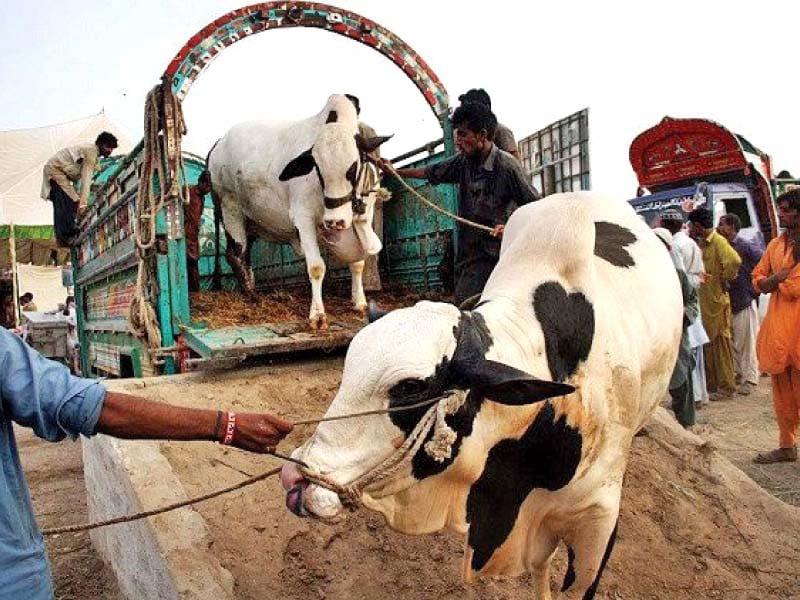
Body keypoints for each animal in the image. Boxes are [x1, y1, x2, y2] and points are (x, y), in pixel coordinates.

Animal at [208, 94, 392, 328]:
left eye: (353, 168)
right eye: (317, 169)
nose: (335, 221)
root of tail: (218, 144)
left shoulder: (360, 220)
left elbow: (358, 264)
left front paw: (359, 302)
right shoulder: (303, 218)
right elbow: (316, 267)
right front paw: (318, 315)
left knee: (245, 256)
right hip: (230, 208)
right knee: (235, 254)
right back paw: (250, 295)